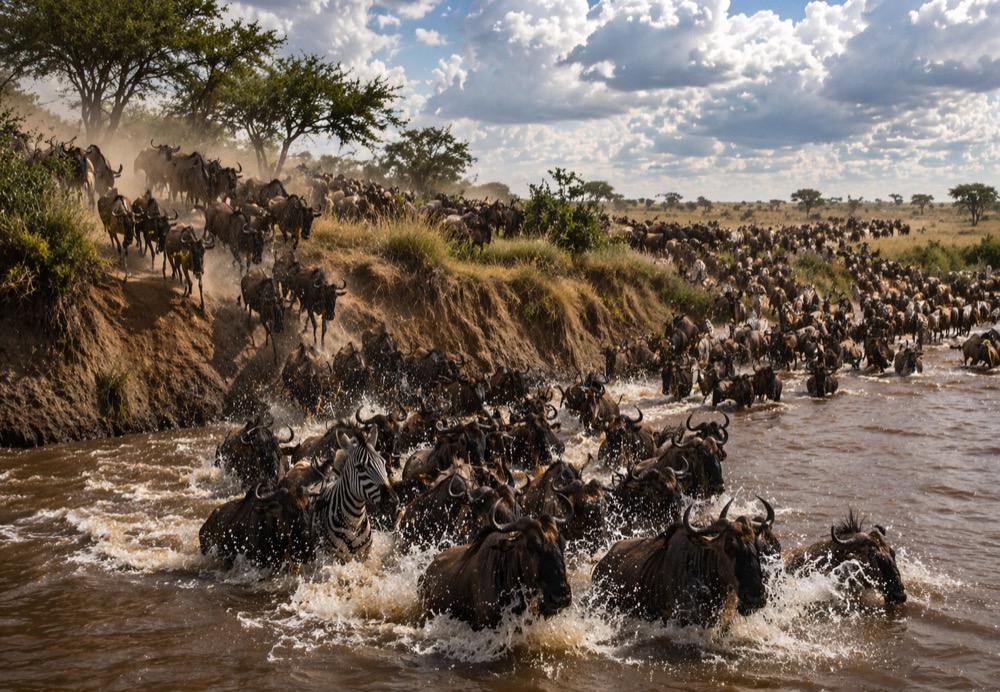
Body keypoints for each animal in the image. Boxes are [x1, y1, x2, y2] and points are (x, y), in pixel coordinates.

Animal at [311, 427, 398, 562]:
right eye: (360, 468)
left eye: (383, 463)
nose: (392, 502)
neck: (355, 521)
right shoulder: (336, 557)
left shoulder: (364, 556)